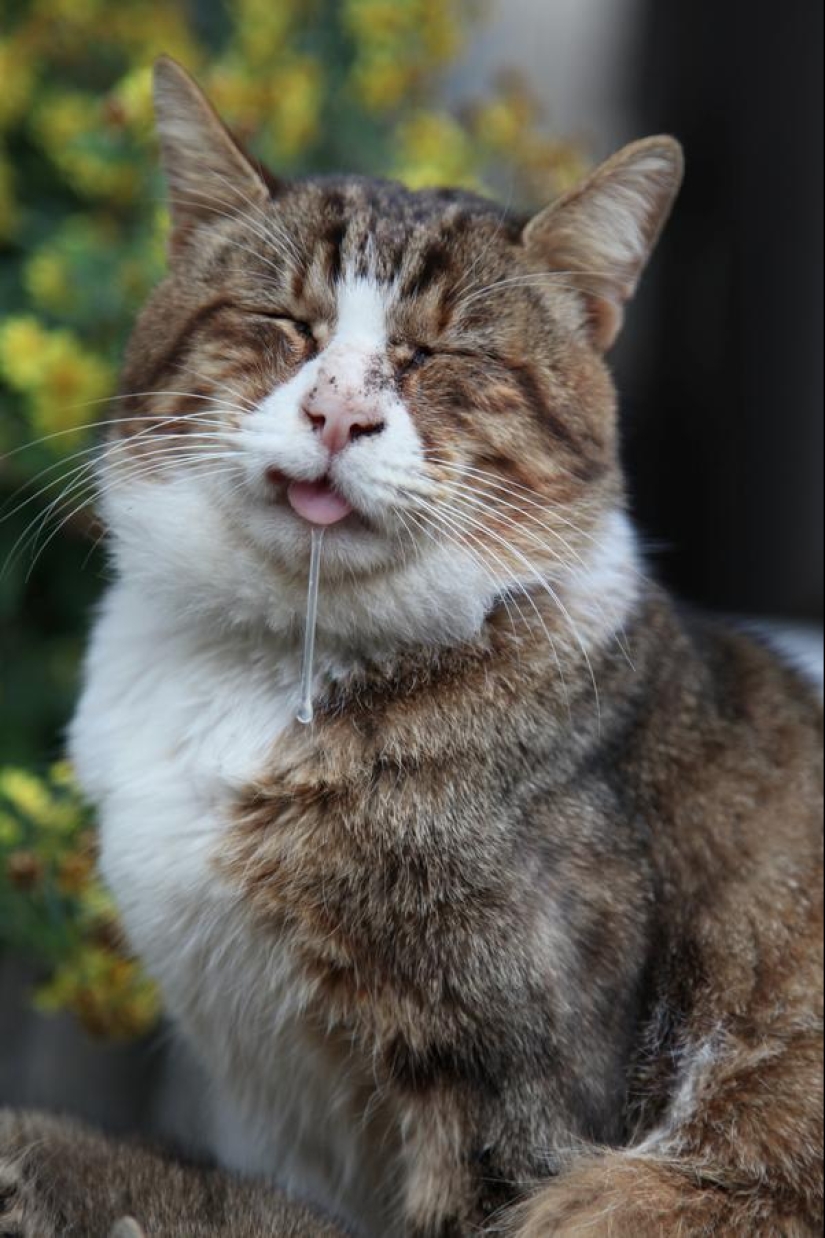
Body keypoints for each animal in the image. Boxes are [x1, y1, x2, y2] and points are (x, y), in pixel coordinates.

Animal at [4, 58, 817, 1238]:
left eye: (437, 356)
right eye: (287, 322)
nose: (340, 413)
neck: (281, 663)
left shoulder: (519, 1098)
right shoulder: (276, 1118)